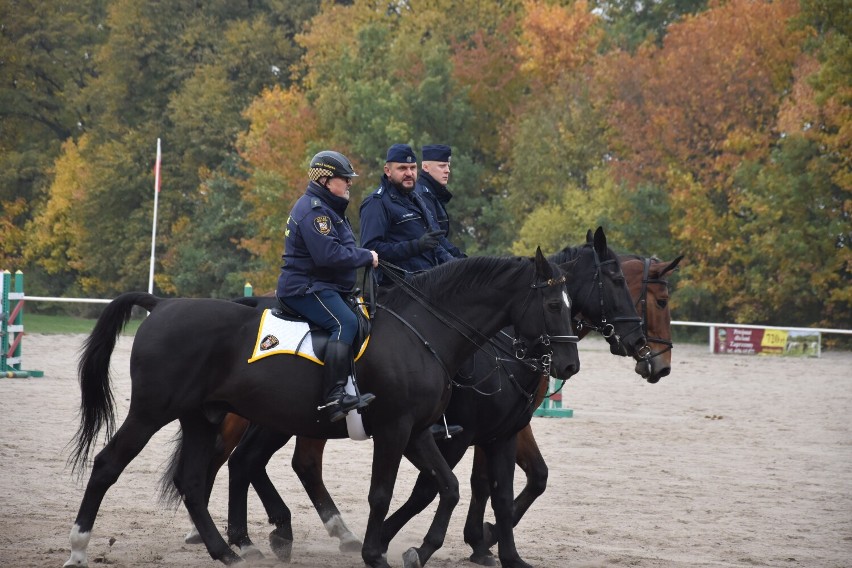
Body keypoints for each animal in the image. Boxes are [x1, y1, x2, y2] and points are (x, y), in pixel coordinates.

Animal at [65, 253, 580, 568]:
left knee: (196, 481)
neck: (422, 332)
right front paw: (375, 550)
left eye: (571, 302)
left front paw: (421, 549)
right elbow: (385, 492)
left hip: (202, 418)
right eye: (552, 303)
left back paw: (228, 551)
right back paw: (78, 547)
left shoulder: (420, 432)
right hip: (153, 413)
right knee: (108, 465)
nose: (569, 363)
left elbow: (448, 487)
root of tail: (162, 305)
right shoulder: (397, 430)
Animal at [175, 226, 644, 568]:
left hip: (280, 420)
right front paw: (409, 543)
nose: (642, 346)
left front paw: (500, 551)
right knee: (243, 461)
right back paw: (247, 536)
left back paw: (264, 535)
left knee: (252, 462)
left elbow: (497, 488)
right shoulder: (442, 434)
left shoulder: (500, 433)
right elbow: (429, 489)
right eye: (616, 280)